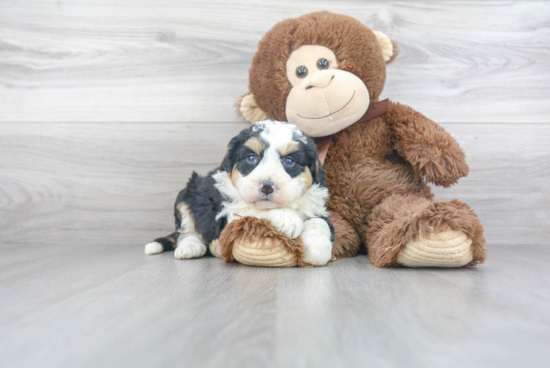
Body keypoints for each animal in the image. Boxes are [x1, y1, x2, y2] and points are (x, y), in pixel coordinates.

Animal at [144, 121, 334, 268]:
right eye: (251, 158)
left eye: (289, 161)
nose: (267, 186)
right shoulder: (228, 218)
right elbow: (252, 211)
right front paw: (287, 218)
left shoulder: (316, 206)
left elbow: (319, 222)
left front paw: (317, 250)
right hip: (187, 196)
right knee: (187, 231)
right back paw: (190, 247)